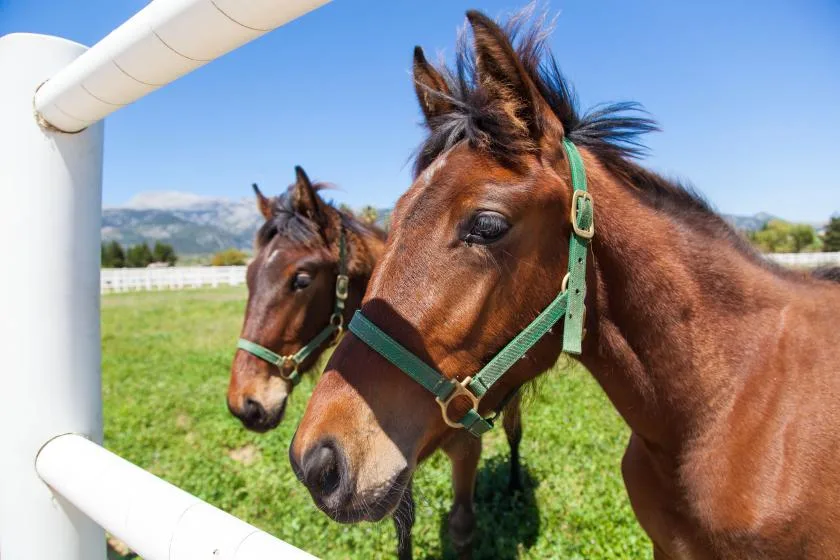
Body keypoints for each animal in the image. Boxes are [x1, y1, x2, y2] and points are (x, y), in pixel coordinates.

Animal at [226, 166, 526, 558]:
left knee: (515, 432)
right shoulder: (391, 468)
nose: (244, 403)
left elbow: (461, 525)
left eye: (301, 279)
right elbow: (404, 531)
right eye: (248, 277)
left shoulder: (463, 447)